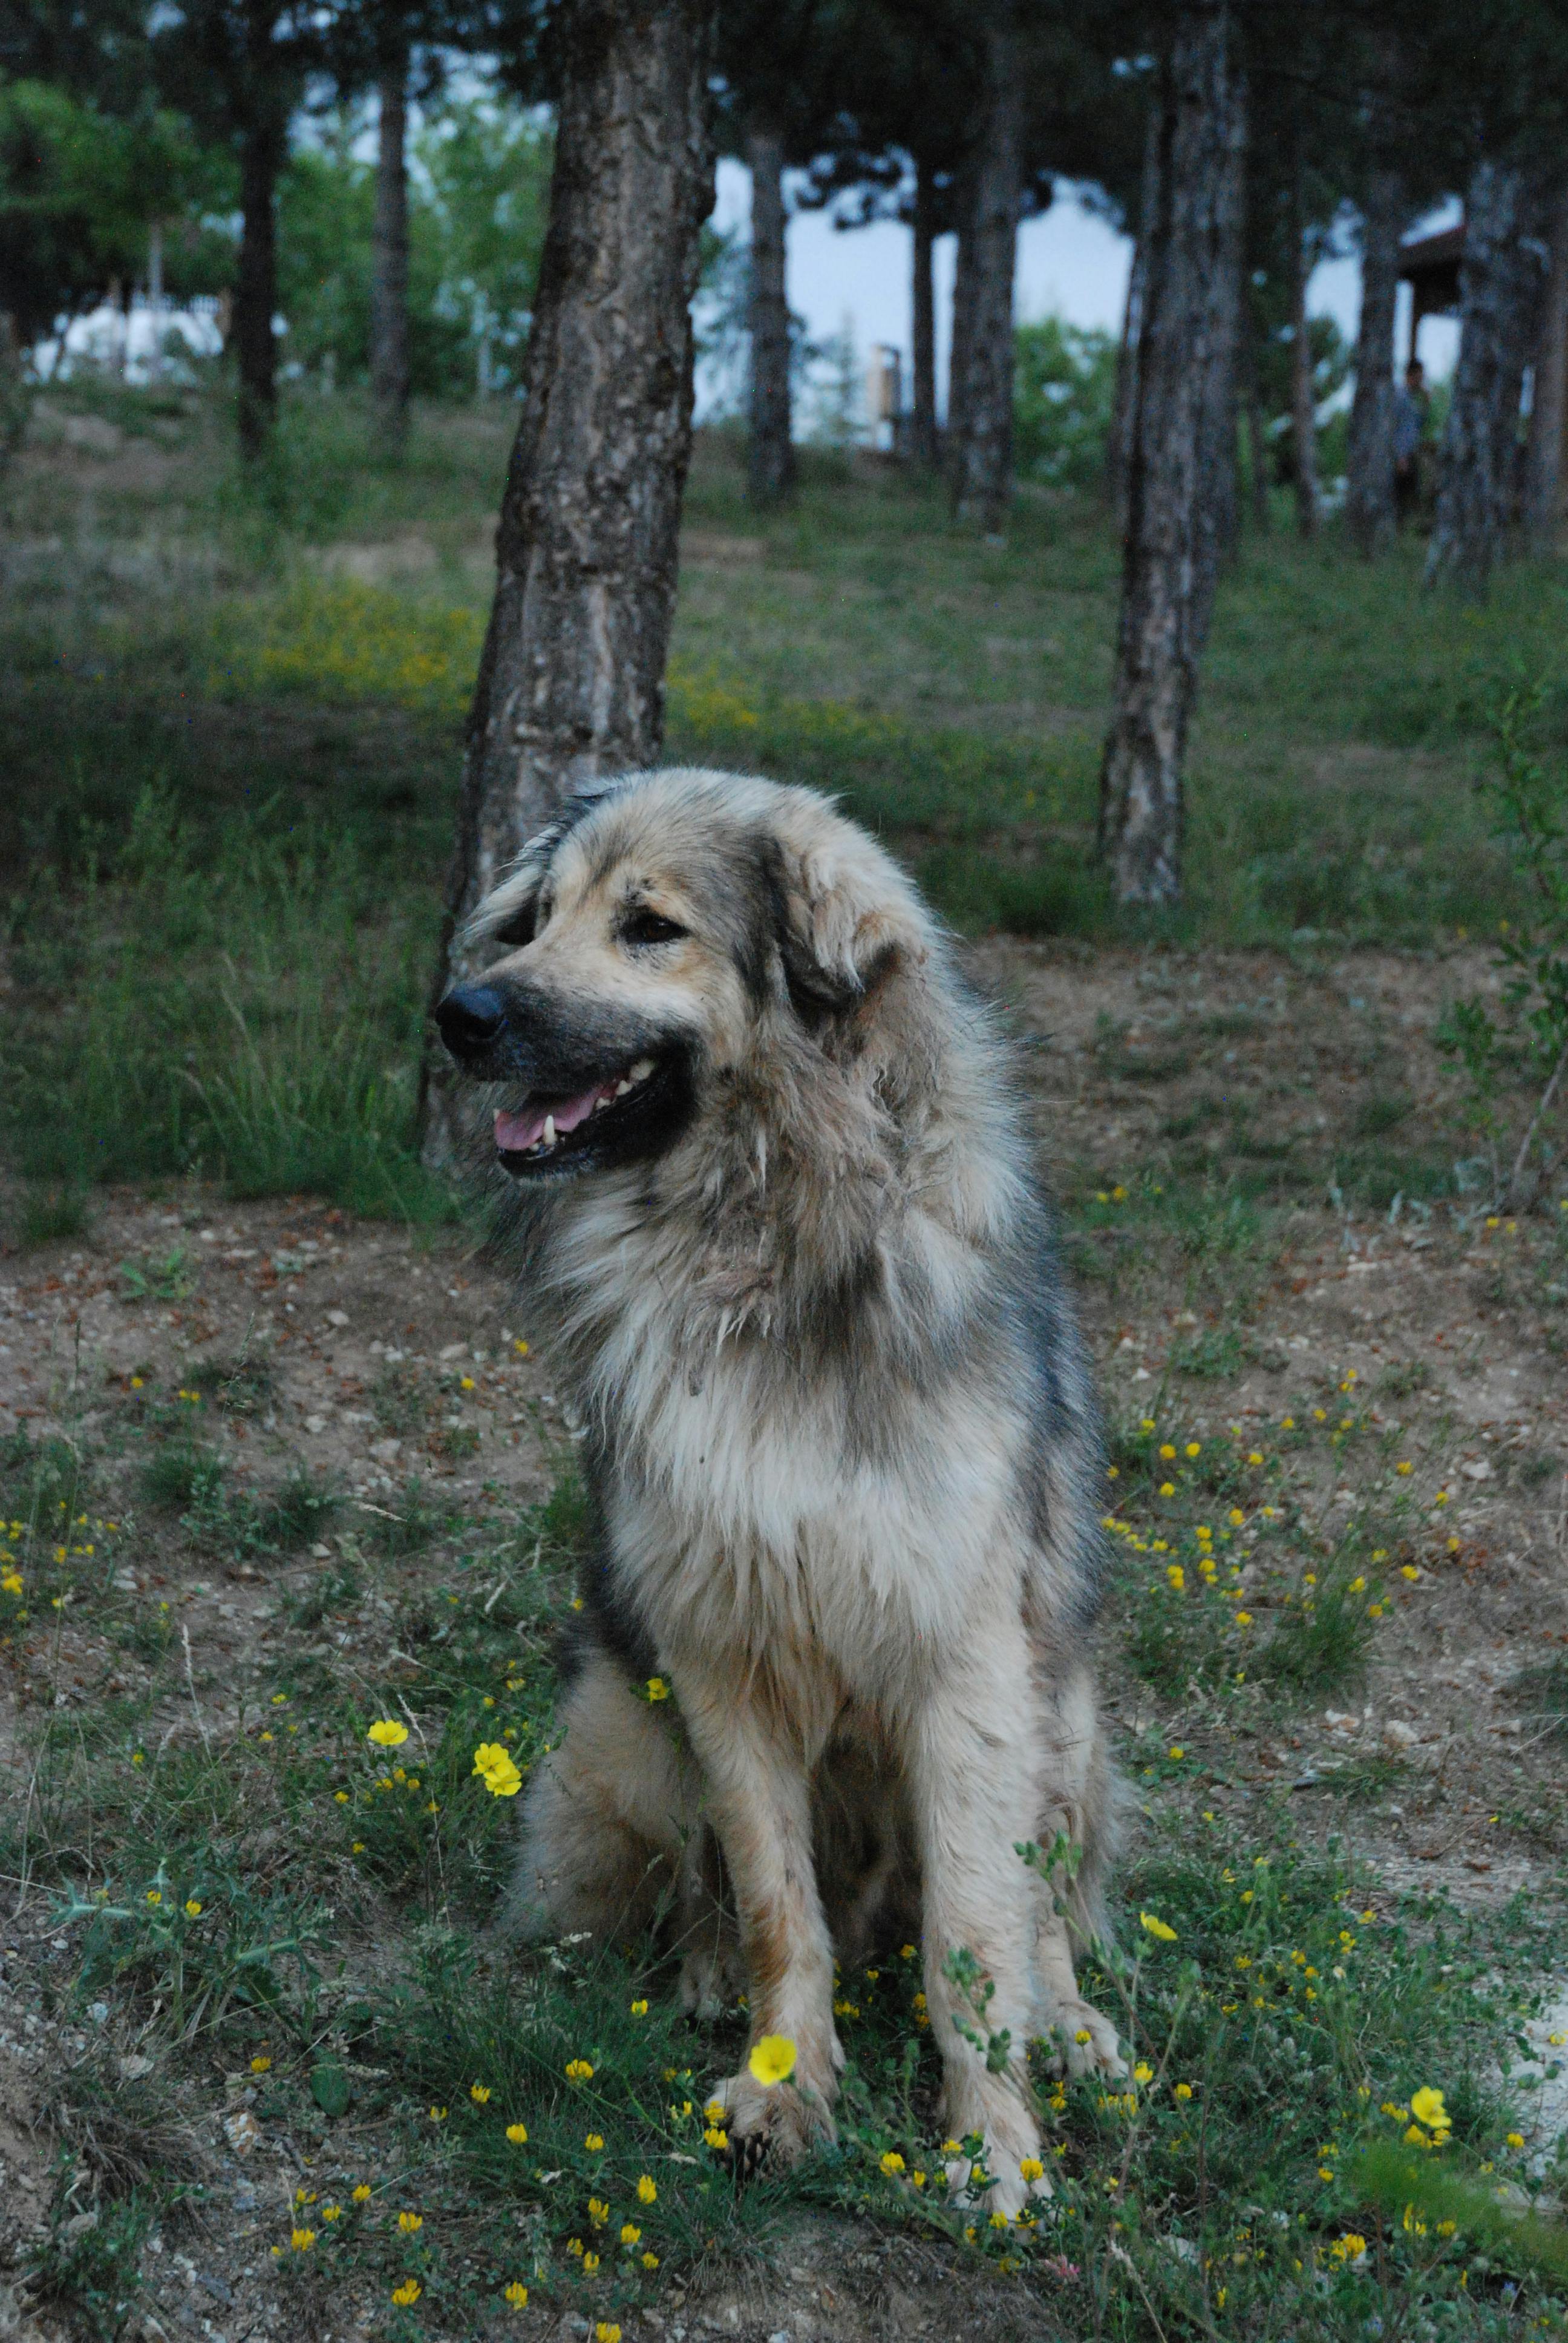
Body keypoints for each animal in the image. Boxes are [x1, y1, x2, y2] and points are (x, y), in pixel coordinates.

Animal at [433, 768, 1125, 2212]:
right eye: (539, 915)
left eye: (650, 926)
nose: (459, 1012)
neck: (758, 1248)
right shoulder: (717, 1649)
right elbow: (769, 1896)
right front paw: (786, 2084)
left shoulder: (966, 1660)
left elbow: (976, 1932)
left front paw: (992, 2142)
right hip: (618, 1727)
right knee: (697, 1882)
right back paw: (701, 1973)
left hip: (1072, 1709)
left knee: (1046, 1903)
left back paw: (1073, 2024)